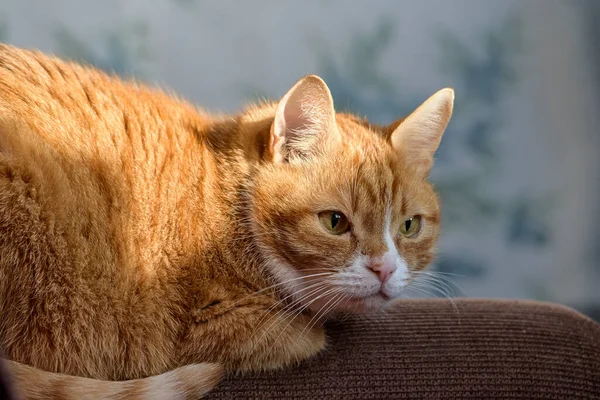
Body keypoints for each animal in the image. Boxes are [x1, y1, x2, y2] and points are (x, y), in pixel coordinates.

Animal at [0, 45, 452, 398]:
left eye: (409, 226)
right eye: (335, 222)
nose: (385, 269)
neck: (228, 202)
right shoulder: (202, 328)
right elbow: (308, 335)